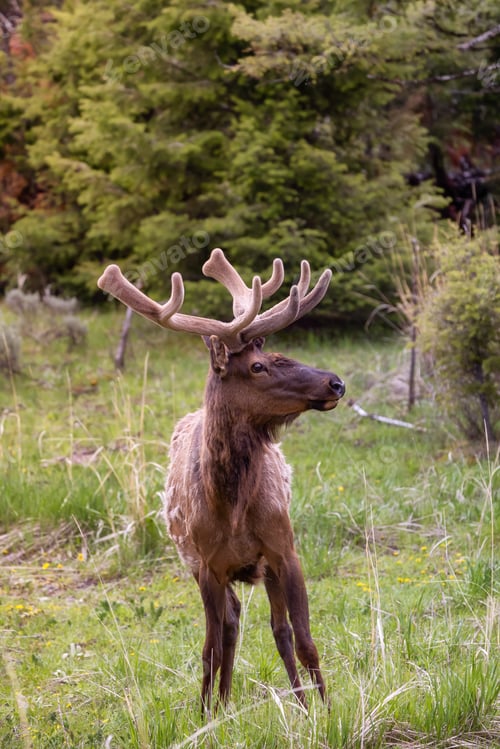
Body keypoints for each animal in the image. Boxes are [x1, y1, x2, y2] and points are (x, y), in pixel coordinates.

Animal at [97, 249, 345, 713]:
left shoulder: (284, 549)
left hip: (262, 569)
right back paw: (222, 703)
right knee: (227, 628)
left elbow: (304, 640)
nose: (336, 382)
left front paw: (323, 709)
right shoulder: (208, 566)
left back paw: (287, 702)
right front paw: (205, 712)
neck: (230, 507)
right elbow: (210, 646)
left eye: (282, 352)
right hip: (203, 567)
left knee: (276, 630)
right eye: (258, 366)